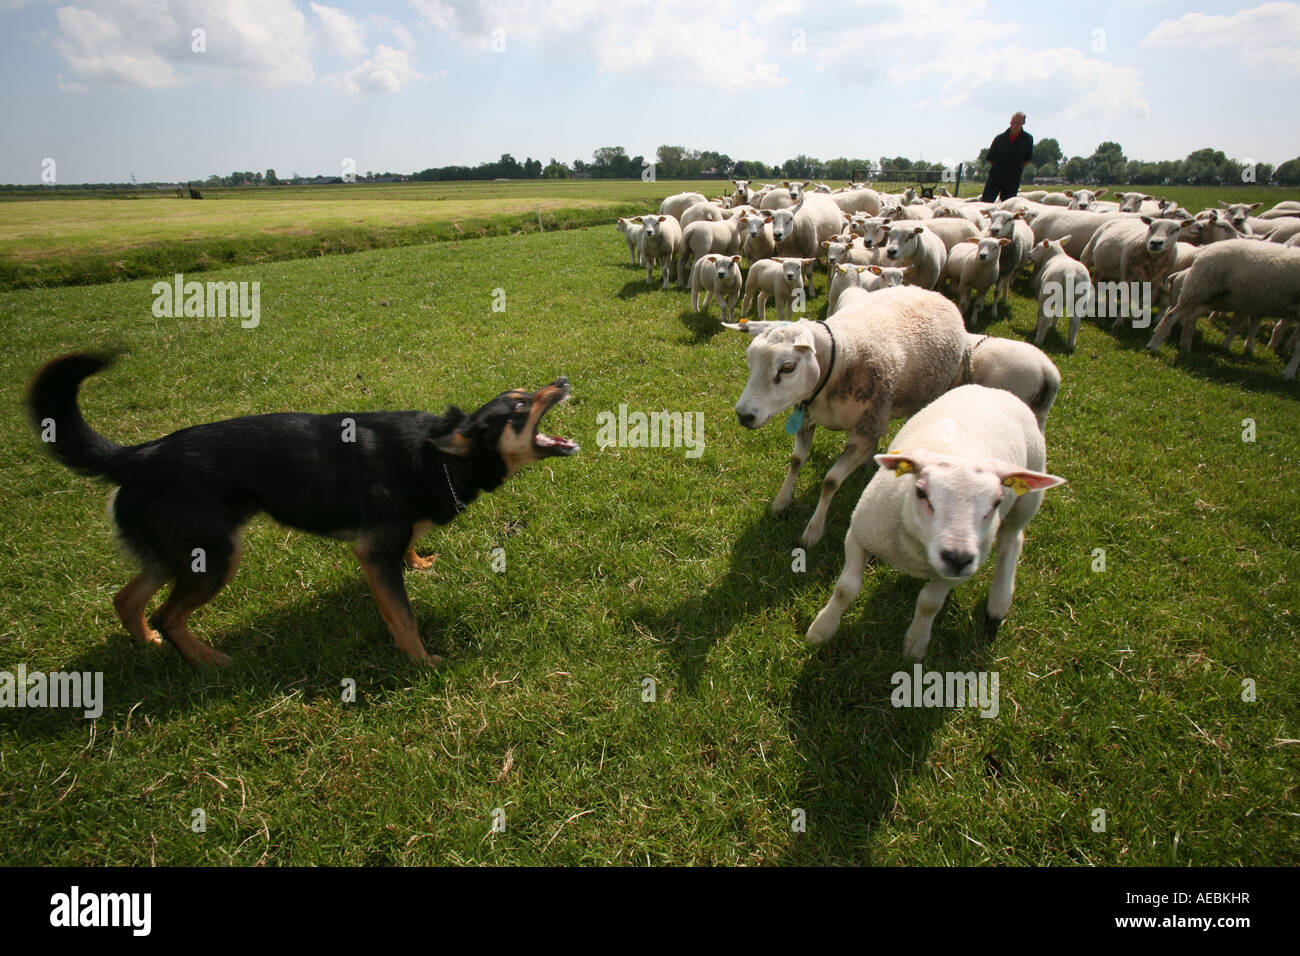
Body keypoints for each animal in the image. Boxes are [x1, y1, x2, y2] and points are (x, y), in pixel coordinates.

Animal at [24, 351, 574, 665]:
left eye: (527, 392)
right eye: (518, 407)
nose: (564, 380)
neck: (439, 456)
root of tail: (137, 455)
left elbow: (410, 553)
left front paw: (419, 563)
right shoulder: (373, 554)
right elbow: (403, 617)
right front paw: (422, 663)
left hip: (172, 554)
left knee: (127, 600)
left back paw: (149, 647)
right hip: (213, 558)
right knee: (166, 613)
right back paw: (208, 661)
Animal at [728, 286, 972, 546]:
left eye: (787, 367)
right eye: (749, 360)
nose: (744, 415)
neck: (840, 359)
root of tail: (933, 293)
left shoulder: (863, 433)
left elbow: (831, 481)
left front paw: (813, 532)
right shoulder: (806, 418)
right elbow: (795, 461)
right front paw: (781, 502)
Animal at [800, 382, 1066, 658]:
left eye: (996, 502)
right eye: (921, 492)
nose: (957, 557)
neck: (915, 549)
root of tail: (996, 390)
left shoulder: (958, 573)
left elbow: (929, 603)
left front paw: (915, 645)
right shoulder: (858, 535)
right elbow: (846, 588)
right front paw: (821, 630)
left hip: (1027, 498)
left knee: (1012, 539)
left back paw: (998, 602)